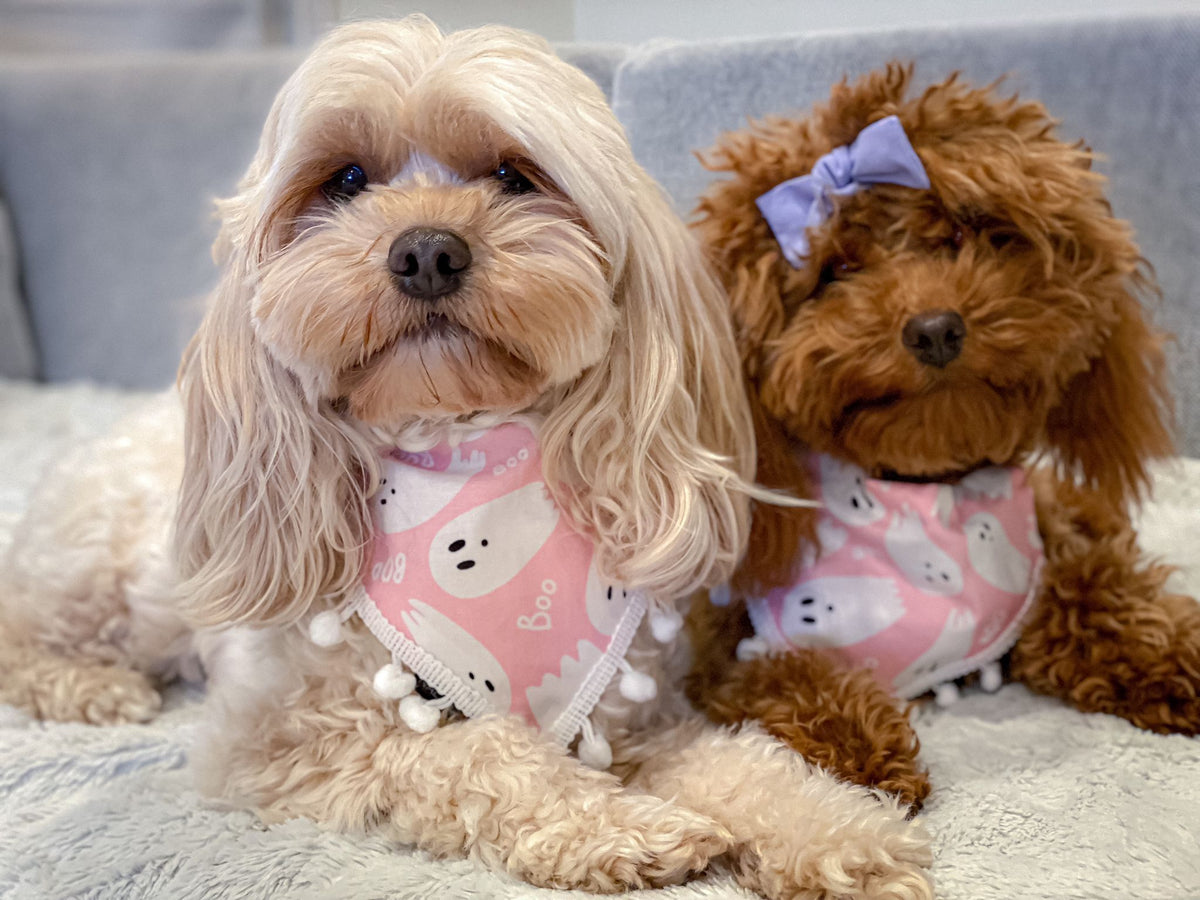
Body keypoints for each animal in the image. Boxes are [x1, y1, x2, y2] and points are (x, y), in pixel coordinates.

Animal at [0, 17, 931, 897]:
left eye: (514, 175)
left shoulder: (640, 720)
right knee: (21, 629)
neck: (461, 443)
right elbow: (475, 755)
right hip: (97, 574)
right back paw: (93, 686)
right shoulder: (279, 742)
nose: (426, 251)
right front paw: (619, 826)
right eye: (346, 180)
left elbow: (744, 763)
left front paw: (843, 832)